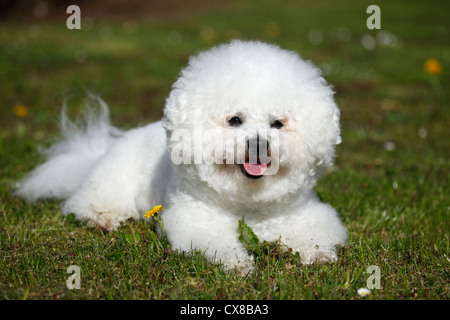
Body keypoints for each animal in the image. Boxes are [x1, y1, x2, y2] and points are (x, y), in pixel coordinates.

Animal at [15, 40, 346, 270]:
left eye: (277, 123)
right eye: (234, 120)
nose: (258, 144)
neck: (246, 202)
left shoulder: (304, 215)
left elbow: (316, 234)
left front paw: (317, 254)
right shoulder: (195, 219)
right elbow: (218, 243)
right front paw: (238, 263)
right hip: (113, 181)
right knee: (84, 203)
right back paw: (102, 219)